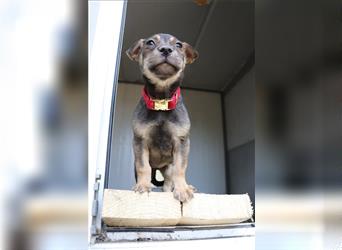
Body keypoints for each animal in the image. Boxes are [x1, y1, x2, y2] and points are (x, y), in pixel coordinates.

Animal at [127, 33, 199, 202]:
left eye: (178, 45)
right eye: (150, 43)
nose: (166, 49)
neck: (161, 101)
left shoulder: (181, 141)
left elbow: (180, 168)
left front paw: (182, 190)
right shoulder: (140, 141)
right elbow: (143, 166)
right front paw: (142, 186)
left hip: (168, 168)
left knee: (168, 182)